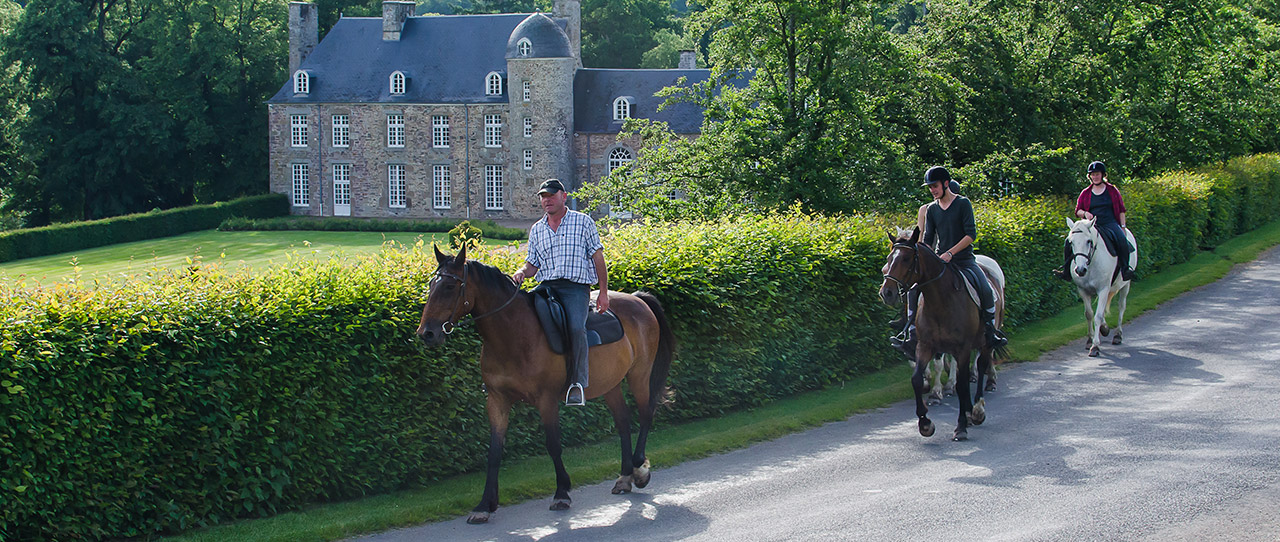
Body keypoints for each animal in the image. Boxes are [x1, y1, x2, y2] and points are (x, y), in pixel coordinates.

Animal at [417, 246, 680, 525]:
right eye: (431, 285)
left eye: (448, 287)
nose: (427, 333)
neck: (514, 334)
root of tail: (638, 299)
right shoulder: (497, 400)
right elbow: (494, 452)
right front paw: (485, 504)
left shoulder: (546, 400)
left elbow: (553, 444)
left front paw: (562, 492)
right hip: (611, 384)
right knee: (623, 421)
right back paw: (624, 477)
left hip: (639, 374)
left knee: (646, 413)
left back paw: (639, 469)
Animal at [875, 228, 1003, 440]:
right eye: (888, 259)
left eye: (906, 259)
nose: (887, 293)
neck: (940, 300)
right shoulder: (925, 345)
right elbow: (917, 378)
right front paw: (925, 423)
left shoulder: (961, 348)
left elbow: (957, 380)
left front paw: (960, 424)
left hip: (985, 338)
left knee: (983, 362)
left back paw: (978, 406)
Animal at [1064, 219, 1136, 358]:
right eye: (1071, 242)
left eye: (1088, 241)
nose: (1080, 270)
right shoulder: (1083, 291)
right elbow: (1089, 314)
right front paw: (1090, 340)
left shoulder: (1103, 290)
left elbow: (1097, 316)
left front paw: (1095, 346)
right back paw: (1104, 328)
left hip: (1125, 285)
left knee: (1121, 306)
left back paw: (1118, 335)